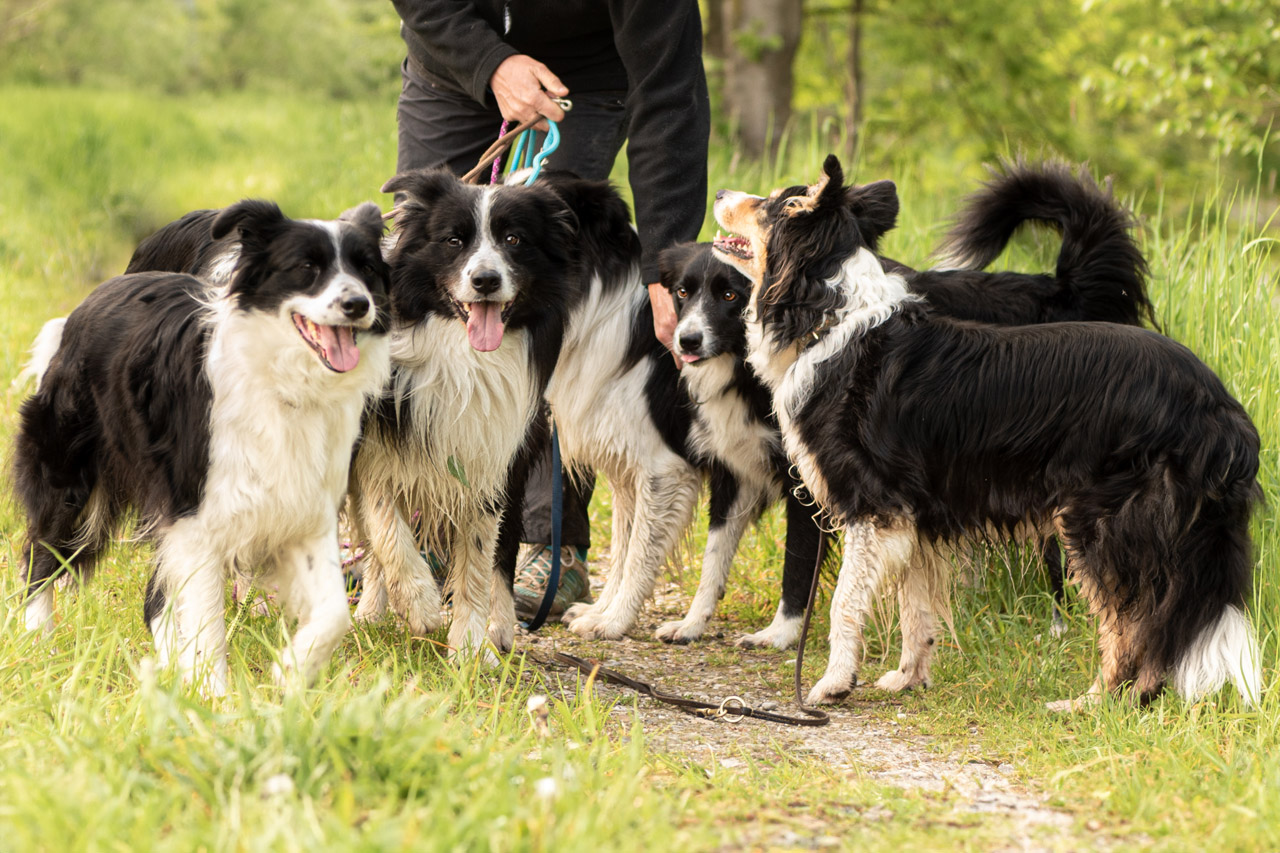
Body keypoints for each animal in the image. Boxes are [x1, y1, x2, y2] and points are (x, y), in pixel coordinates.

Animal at [17, 202, 389, 696]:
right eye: (307, 268)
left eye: (366, 269)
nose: (357, 305)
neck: (286, 383)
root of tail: (91, 299)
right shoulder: (196, 515)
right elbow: (208, 622)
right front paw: (215, 697)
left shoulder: (307, 506)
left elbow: (334, 614)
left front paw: (290, 670)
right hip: (70, 468)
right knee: (41, 552)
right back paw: (37, 640)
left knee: (155, 596)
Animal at [345, 169, 576, 653]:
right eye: (453, 240)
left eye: (513, 239)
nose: (486, 280)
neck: (462, 354)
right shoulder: (375, 447)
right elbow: (387, 531)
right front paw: (419, 605)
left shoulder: (490, 459)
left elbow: (477, 560)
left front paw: (469, 647)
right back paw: (371, 614)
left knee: (503, 556)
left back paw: (500, 631)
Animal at [655, 161, 1157, 645]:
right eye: (683, 292)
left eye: (770, 204)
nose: (720, 191)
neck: (827, 316)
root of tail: (1062, 287)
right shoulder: (739, 473)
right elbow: (714, 557)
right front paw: (693, 623)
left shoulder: (829, 486)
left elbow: (804, 570)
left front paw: (781, 634)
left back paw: (1058, 628)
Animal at [716, 156, 1264, 706]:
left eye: (771, 204)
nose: (719, 192)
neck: (828, 317)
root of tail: (1220, 411)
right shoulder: (910, 514)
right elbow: (916, 607)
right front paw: (909, 677)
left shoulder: (873, 507)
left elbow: (845, 602)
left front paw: (832, 684)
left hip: (1102, 522)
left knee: (1135, 623)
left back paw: (1093, 702)